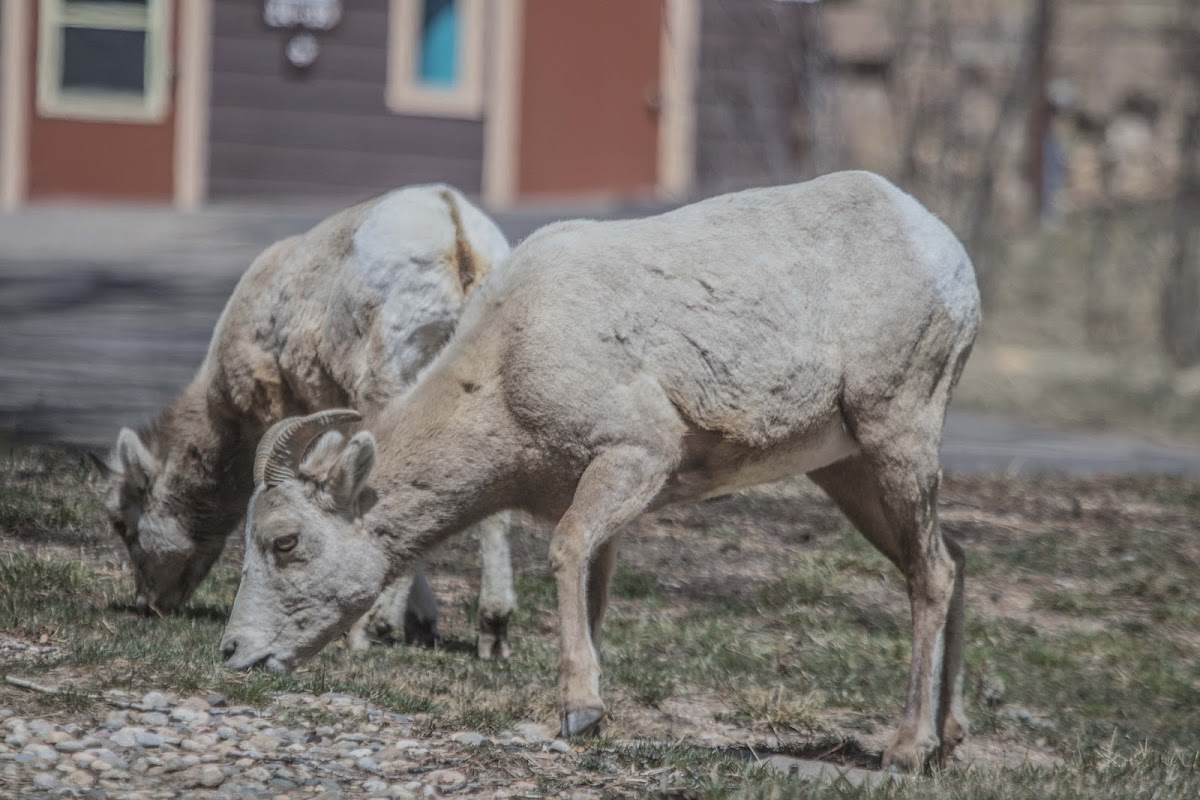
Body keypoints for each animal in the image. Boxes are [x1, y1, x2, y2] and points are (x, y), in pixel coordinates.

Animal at [96, 184, 518, 662]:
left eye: (121, 524)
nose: (148, 605)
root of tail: (458, 237)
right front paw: (422, 628)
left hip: (389, 378)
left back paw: (373, 630)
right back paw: (493, 633)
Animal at [220, 172, 979, 772]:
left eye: (285, 541)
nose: (234, 654)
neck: (502, 365)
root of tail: (942, 247)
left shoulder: (634, 457)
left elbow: (564, 554)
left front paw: (579, 710)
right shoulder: (606, 499)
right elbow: (593, 591)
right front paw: (592, 710)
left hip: (897, 431)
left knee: (933, 573)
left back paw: (907, 750)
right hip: (849, 470)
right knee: (951, 559)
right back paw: (948, 739)